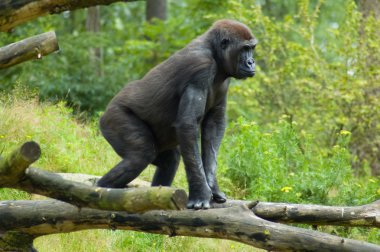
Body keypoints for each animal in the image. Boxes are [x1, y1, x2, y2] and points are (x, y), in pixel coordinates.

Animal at [97, 19, 258, 209]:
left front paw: (212, 185)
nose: (251, 62)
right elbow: (188, 125)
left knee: (169, 160)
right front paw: (200, 193)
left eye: (252, 48)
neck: (215, 53)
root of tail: (104, 115)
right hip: (113, 119)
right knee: (139, 156)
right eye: (244, 49)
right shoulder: (200, 67)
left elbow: (213, 128)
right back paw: (102, 189)